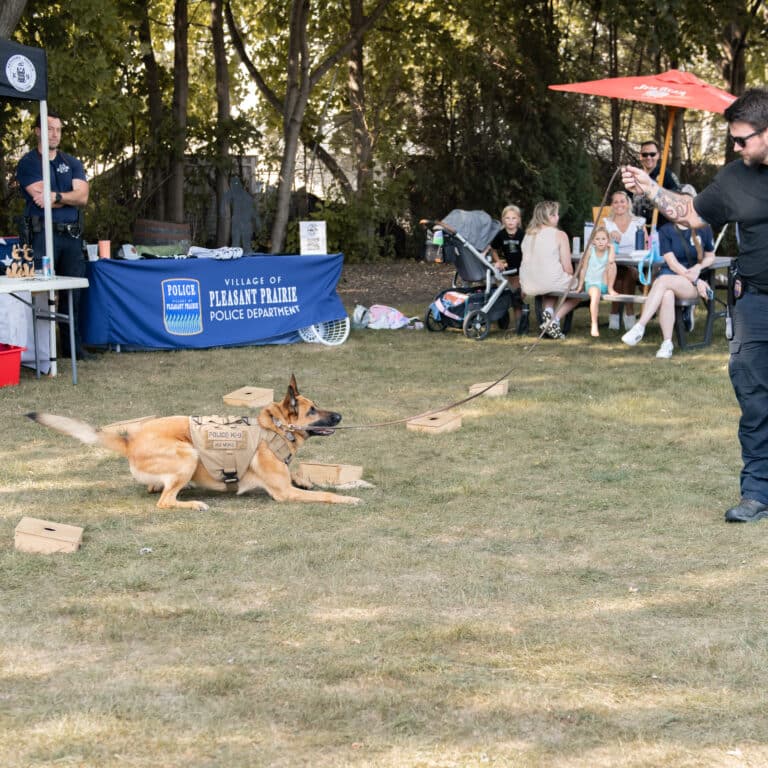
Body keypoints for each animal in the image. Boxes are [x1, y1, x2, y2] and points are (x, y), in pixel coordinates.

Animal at [28, 375, 361, 509]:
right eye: (312, 410)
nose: (340, 415)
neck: (276, 430)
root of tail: (132, 440)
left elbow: (306, 476)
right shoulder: (284, 493)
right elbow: (326, 494)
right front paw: (349, 499)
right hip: (187, 453)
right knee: (164, 501)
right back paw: (193, 502)